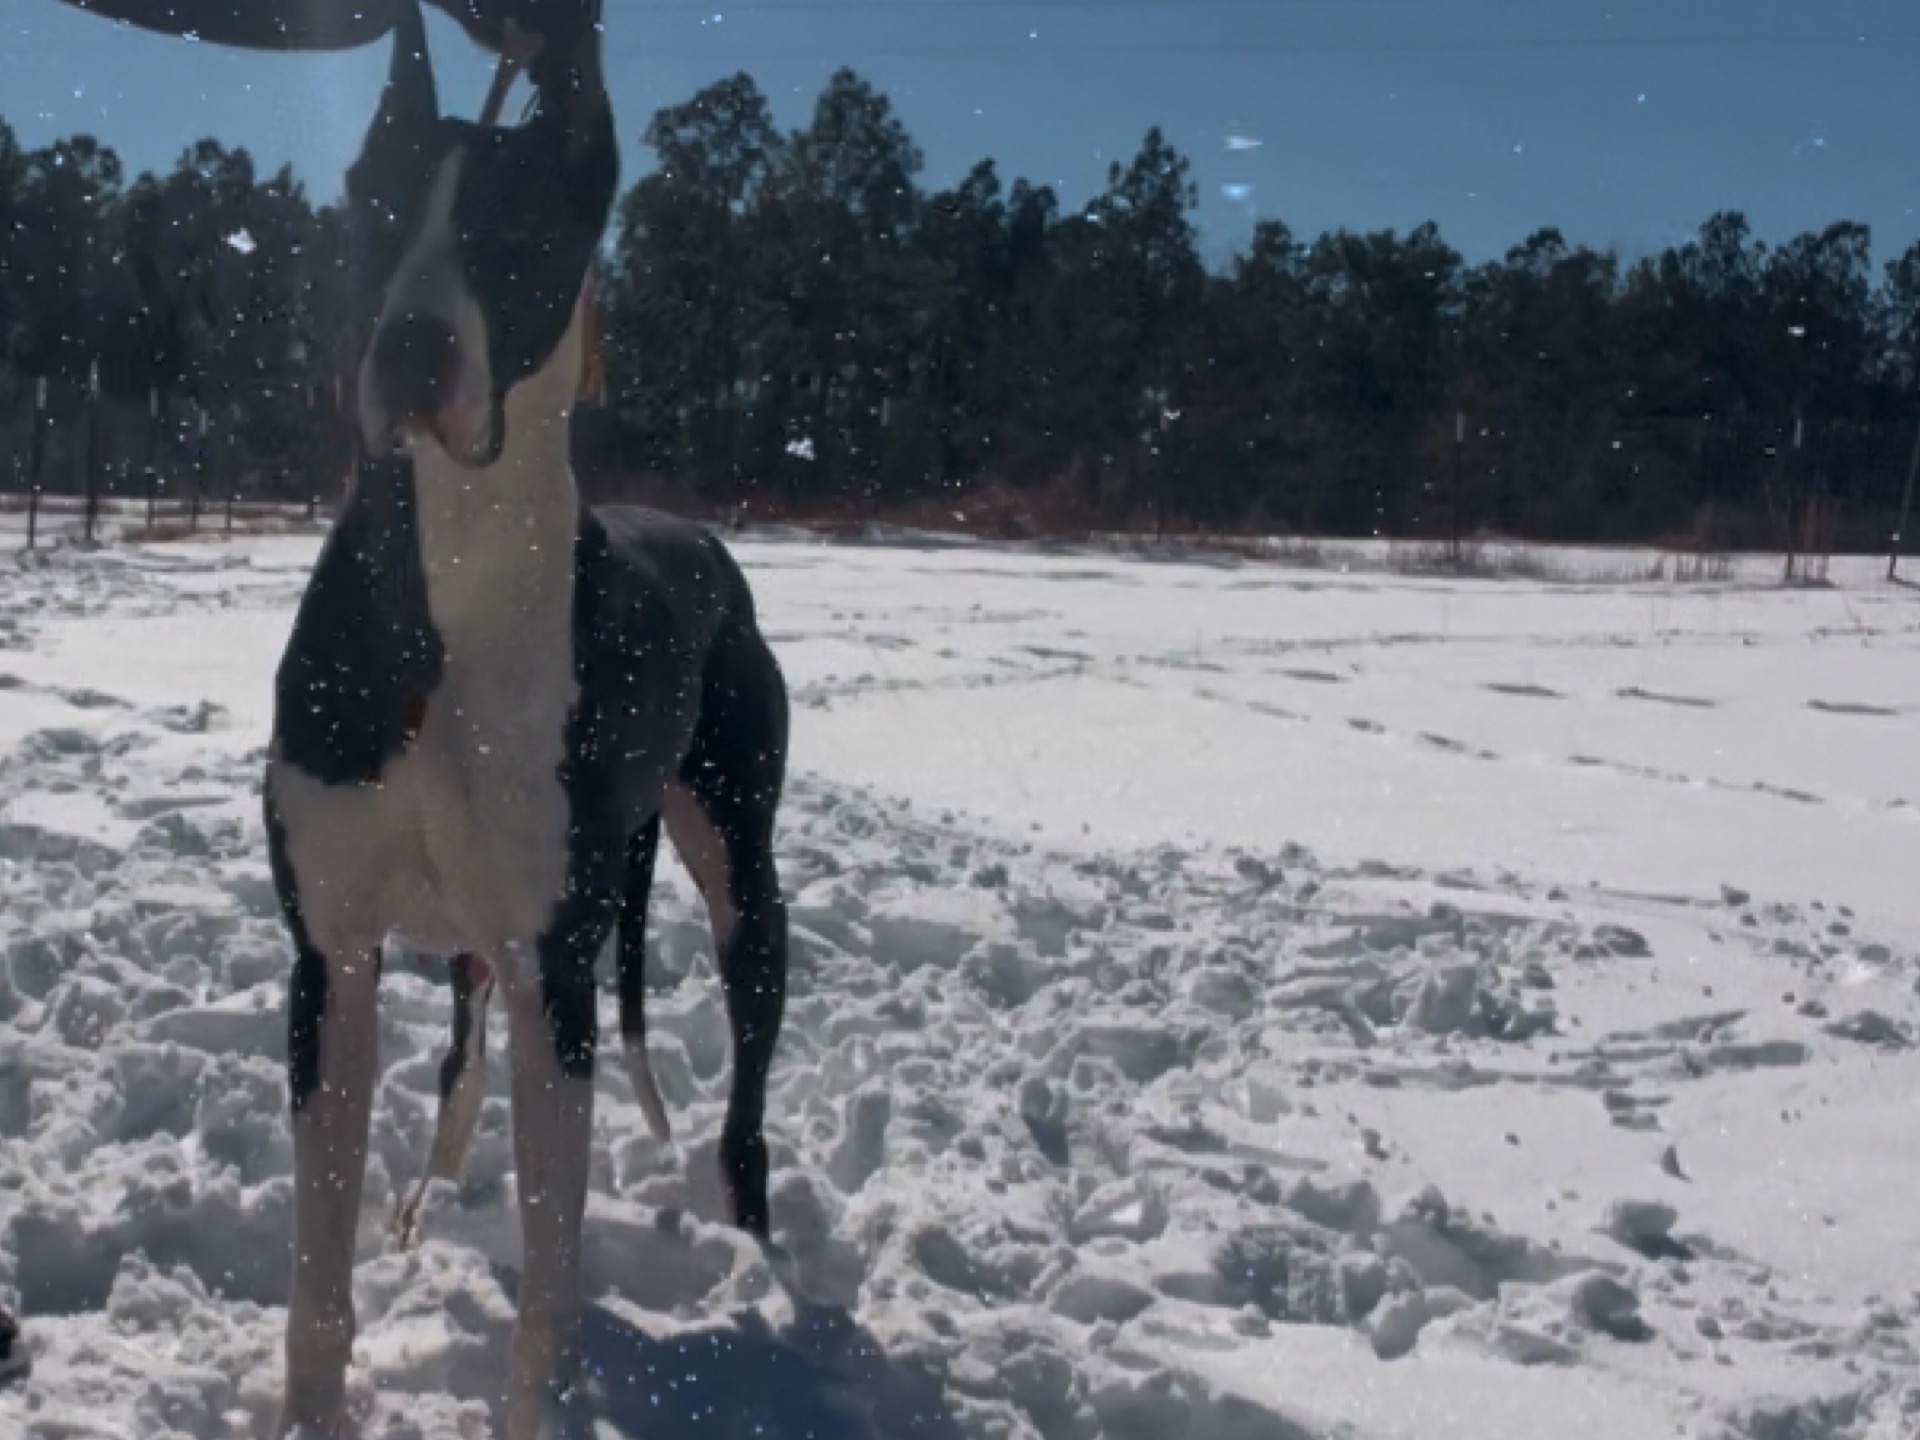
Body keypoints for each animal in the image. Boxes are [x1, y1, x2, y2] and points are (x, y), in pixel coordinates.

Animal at [255, 5, 787, 1436]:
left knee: (747, 1090)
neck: (454, 558)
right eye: (375, 204)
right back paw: (431, 1191)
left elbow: (546, 1300)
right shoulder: (331, 959)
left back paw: (762, 1252)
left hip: (742, 881)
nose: (413, 344)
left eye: (517, 233)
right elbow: (315, 1289)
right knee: (456, 1053)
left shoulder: (559, 984)